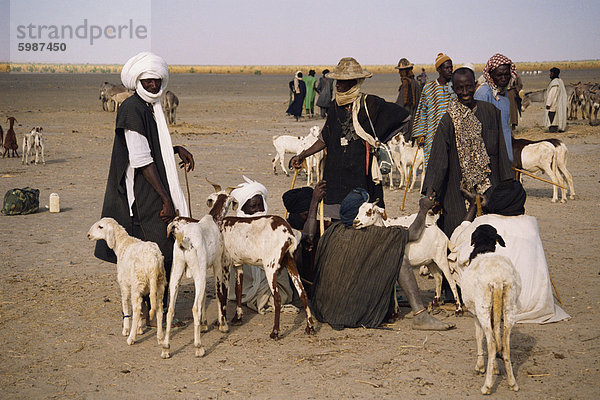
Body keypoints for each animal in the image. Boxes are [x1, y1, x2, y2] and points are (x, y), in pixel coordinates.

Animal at [86, 217, 166, 346]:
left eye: (101, 227)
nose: (88, 235)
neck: (122, 244)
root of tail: (153, 261)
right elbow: (143, 306)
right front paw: (139, 329)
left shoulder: (124, 284)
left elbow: (126, 305)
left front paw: (126, 329)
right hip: (159, 283)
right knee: (159, 308)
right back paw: (160, 338)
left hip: (137, 283)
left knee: (136, 309)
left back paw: (131, 338)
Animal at [450, 223, 520, 396]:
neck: (484, 249)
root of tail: (498, 280)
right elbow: (496, 334)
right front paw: (494, 368)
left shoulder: (474, 313)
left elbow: (478, 336)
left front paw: (481, 366)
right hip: (509, 308)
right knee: (505, 346)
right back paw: (512, 383)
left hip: (482, 308)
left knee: (492, 344)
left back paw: (487, 386)